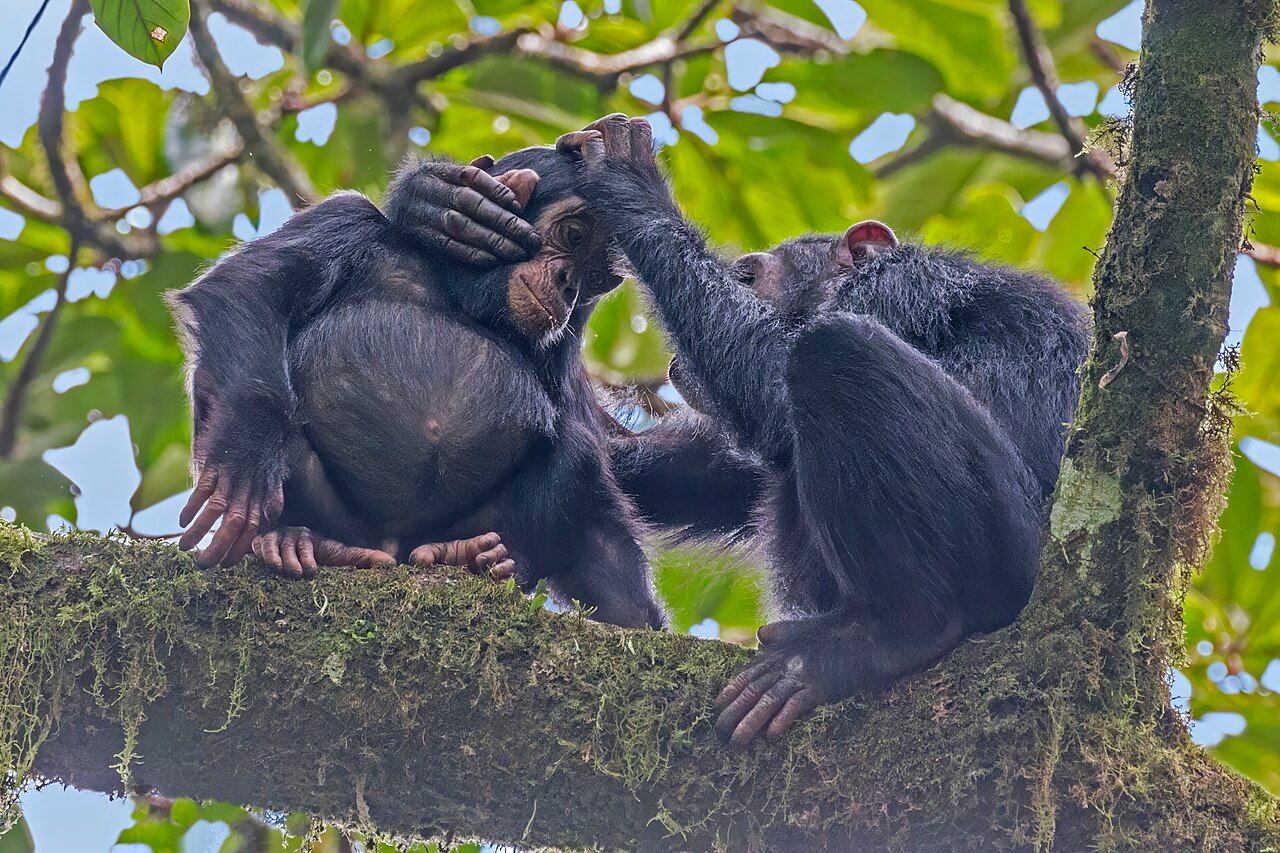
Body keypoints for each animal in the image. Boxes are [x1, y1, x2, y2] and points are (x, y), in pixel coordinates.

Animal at [167, 147, 667, 629]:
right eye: (576, 236)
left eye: (595, 277)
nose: (569, 284)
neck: (463, 292)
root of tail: (392, 547)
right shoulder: (342, 219)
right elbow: (251, 288)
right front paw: (245, 459)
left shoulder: (565, 352)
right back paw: (295, 540)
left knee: (576, 450)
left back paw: (477, 557)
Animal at [554, 114, 1089, 742]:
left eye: (745, 276)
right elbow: (701, 472)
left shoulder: (897, 294)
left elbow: (774, 385)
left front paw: (630, 182)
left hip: (1011, 560)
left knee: (835, 352)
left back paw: (886, 636)